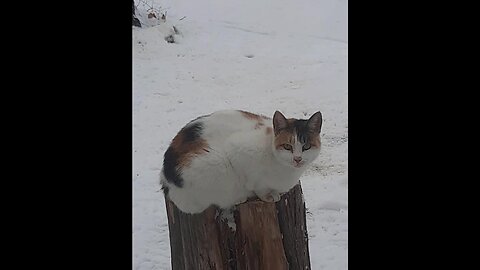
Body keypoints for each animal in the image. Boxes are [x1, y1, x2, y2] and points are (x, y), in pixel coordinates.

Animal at [160, 109, 322, 213]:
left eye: (306, 146)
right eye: (287, 146)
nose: (297, 159)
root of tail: (166, 181)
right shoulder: (237, 151)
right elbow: (257, 185)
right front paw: (267, 195)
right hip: (214, 165)